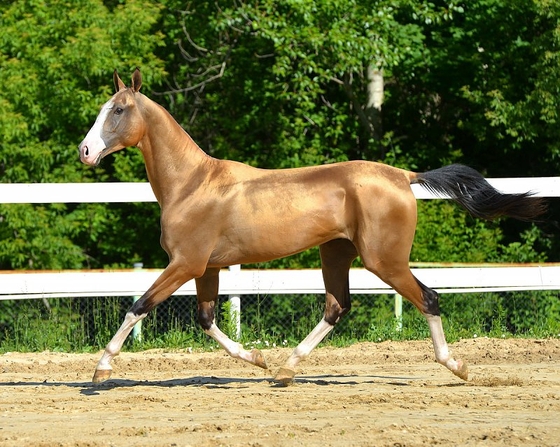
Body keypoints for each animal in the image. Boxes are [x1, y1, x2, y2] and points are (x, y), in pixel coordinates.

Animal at [79, 69, 548, 384]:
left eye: (118, 110)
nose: (85, 151)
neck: (192, 184)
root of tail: (404, 175)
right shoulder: (206, 267)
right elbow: (207, 319)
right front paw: (258, 359)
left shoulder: (185, 263)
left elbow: (139, 305)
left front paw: (101, 369)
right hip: (336, 253)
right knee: (337, 307)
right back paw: (285, 369)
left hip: (384, 260)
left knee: (428, 298)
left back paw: (458, 366)